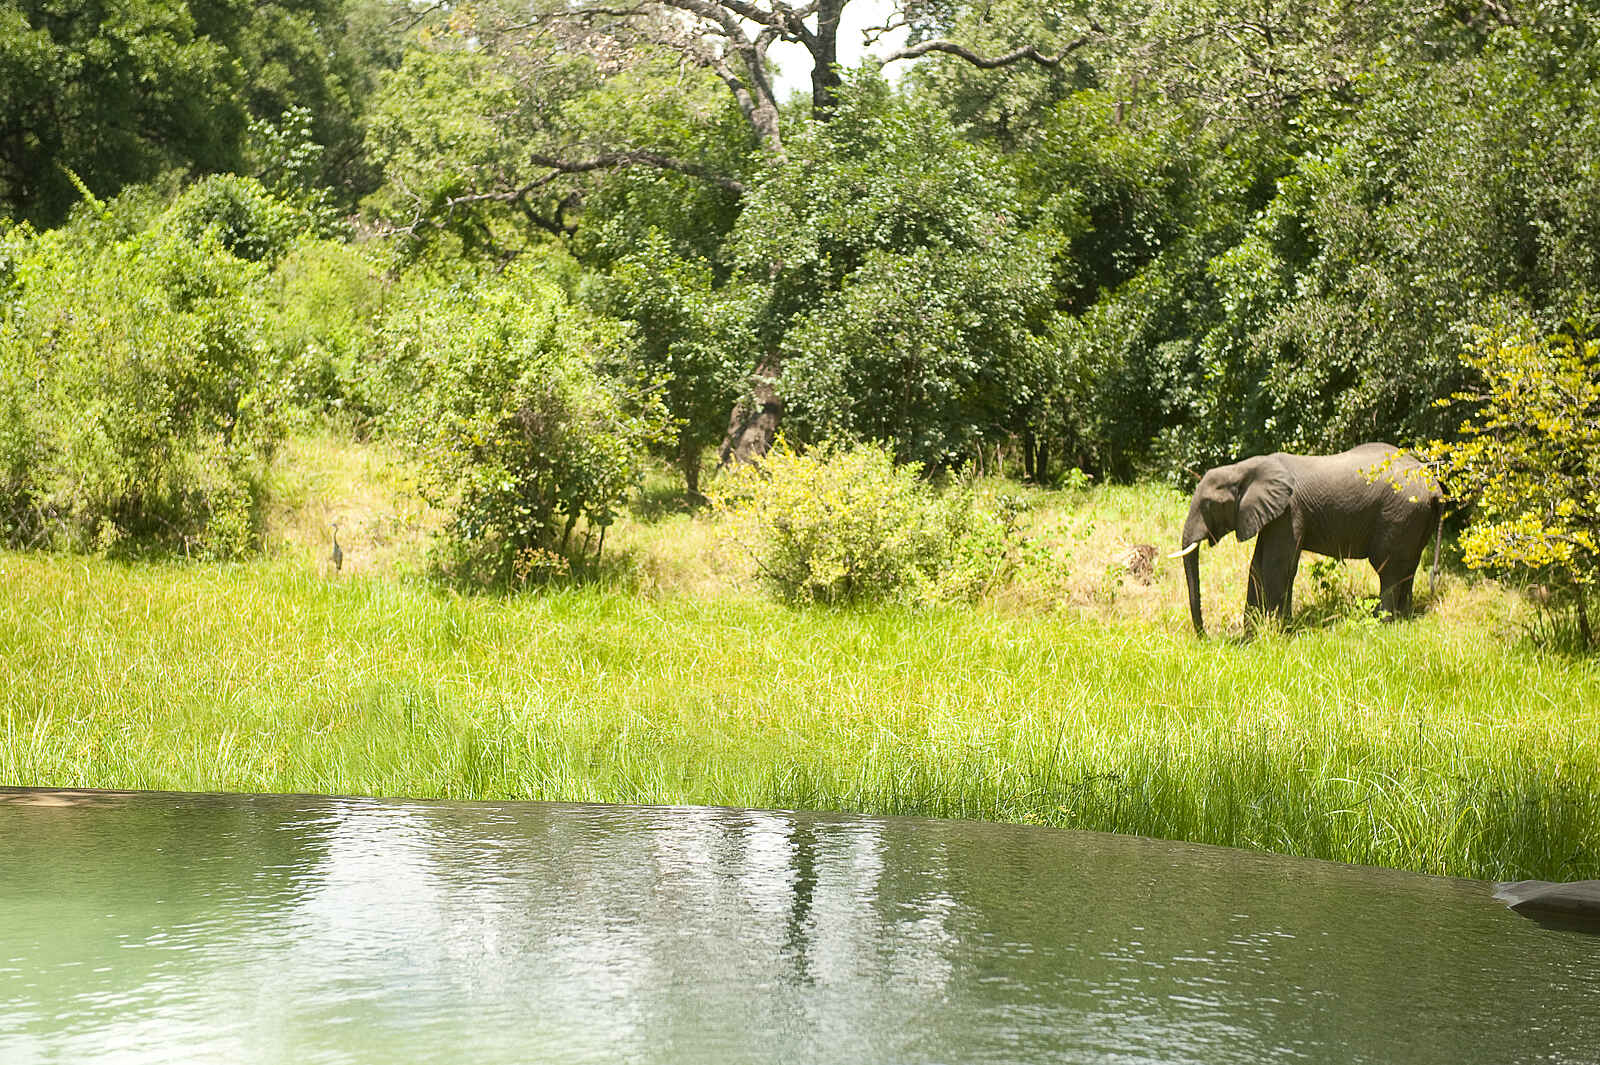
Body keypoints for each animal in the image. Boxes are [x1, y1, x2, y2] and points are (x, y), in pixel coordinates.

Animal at [1171, 443, 1443, 635]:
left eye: (1209, 505)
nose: (1205, 637)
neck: (1243, 468)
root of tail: (1435, 487)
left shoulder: (1289, 511)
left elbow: (1276, 567)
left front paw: (1276, 634)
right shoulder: (1271, 513)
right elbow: (1258, 567)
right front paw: (1253, 635)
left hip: (1399, 513)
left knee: (1388, 569)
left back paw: (1383, 624)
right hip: (1415, 518)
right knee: (1408, 568)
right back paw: (1404, 619)